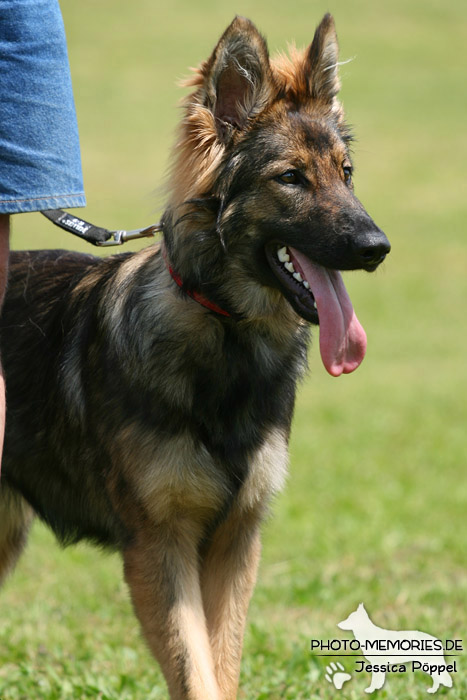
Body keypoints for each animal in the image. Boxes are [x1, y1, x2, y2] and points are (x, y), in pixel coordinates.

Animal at [0, 12, 388, 700]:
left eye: (345, 173)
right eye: (291, 178)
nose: (377, 247)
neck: (225, 336)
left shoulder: (236, 542)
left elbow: (222, 666)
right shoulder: (161, 545)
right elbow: (197, 671)